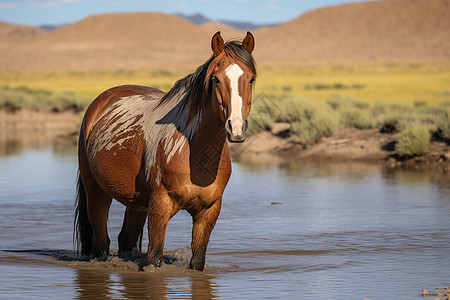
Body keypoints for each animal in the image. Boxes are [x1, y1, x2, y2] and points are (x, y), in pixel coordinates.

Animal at [74, 31, 256, 270]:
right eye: (216, 79)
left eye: (252, 78)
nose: (236, 128)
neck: (196, 154)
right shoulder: (160, 206)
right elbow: (153, 260)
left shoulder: (208, 212)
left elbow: (197, 261)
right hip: (96, 192)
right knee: (101, 242)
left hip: (137, 202)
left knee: (126, 240)